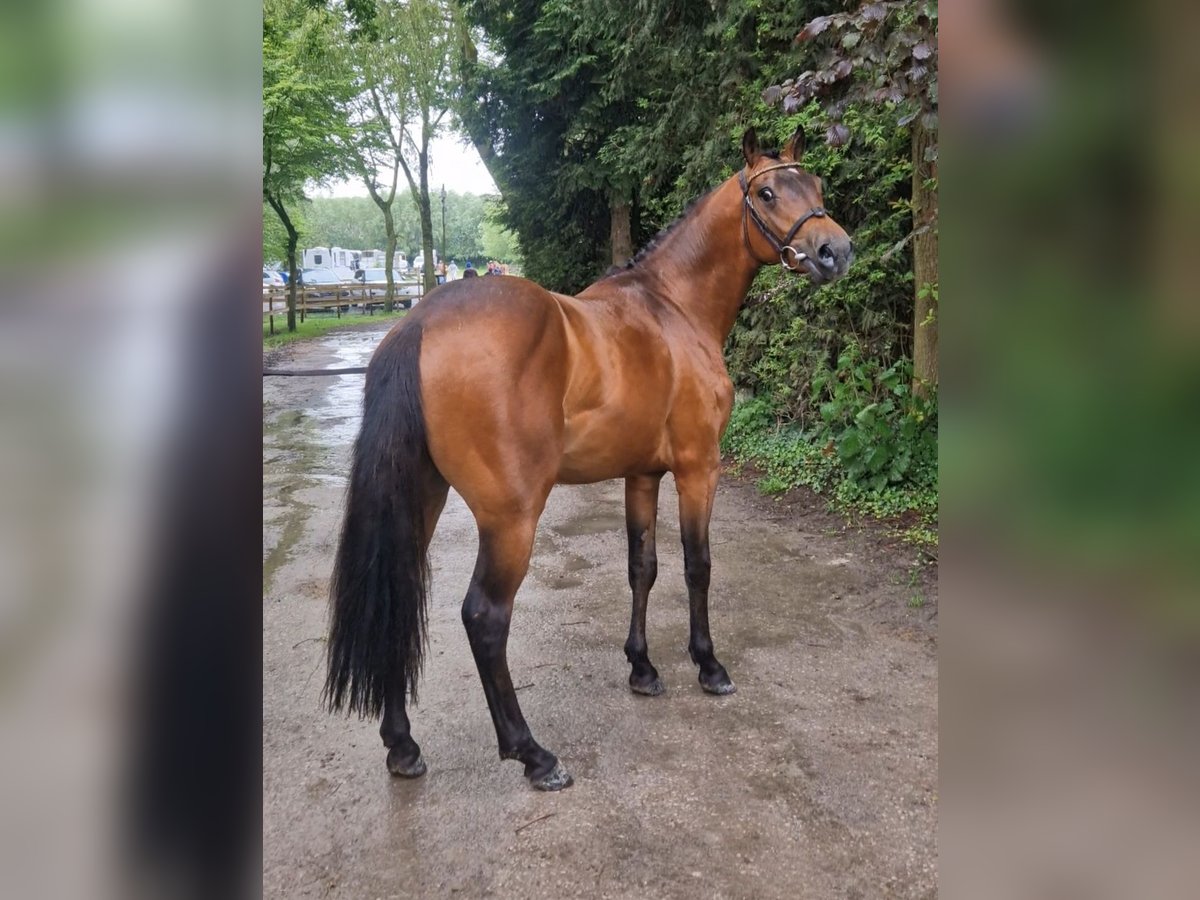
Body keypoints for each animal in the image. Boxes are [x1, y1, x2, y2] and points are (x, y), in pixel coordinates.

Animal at [324, 125, 859, 787]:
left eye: (815, 184)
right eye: (766, 192)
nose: (836, 252)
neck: (673, 309)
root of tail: (418, 323)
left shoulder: (642, 474)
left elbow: (642, 567)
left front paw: (642, 669)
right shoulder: (697, 468)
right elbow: (697, 566)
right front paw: (708, 666)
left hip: (422, 499)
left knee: (398, 599)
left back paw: (402, 745)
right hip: (511, 519)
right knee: (485, 617)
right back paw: (532, 753)